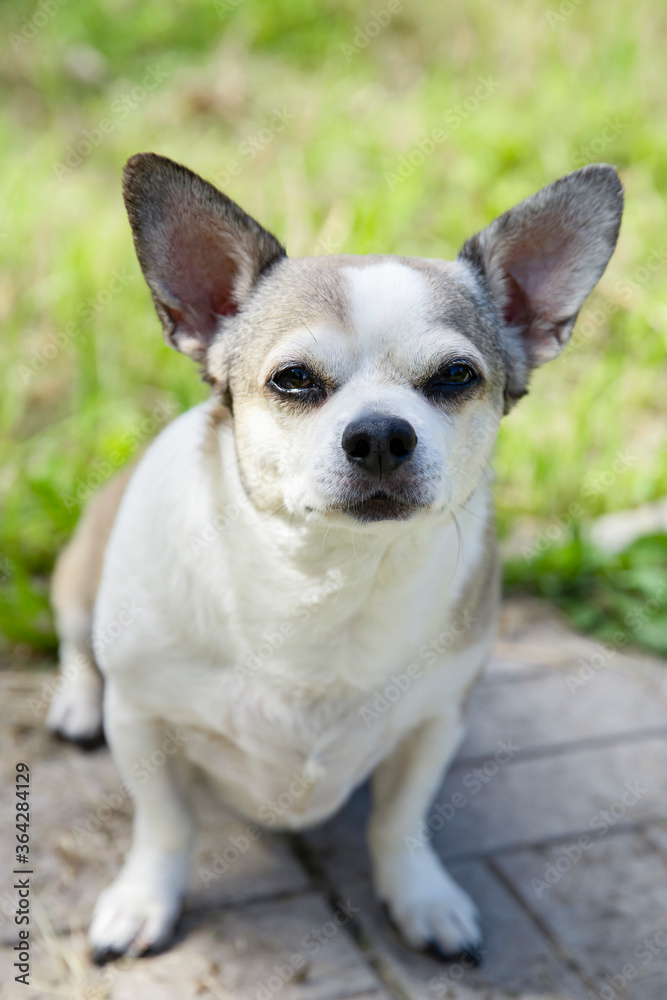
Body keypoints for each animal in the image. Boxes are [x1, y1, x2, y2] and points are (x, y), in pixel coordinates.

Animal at [45, 154, 620, 960]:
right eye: (293, 379)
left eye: (455, 376)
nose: (379, 433)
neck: (328, 580)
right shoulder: (142, 721)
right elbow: (166, 825)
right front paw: (143, 900)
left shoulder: (435, 725)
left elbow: (398, 821)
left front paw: (420, 896)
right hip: (78, 573)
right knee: (74, 640)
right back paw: (74, 703)